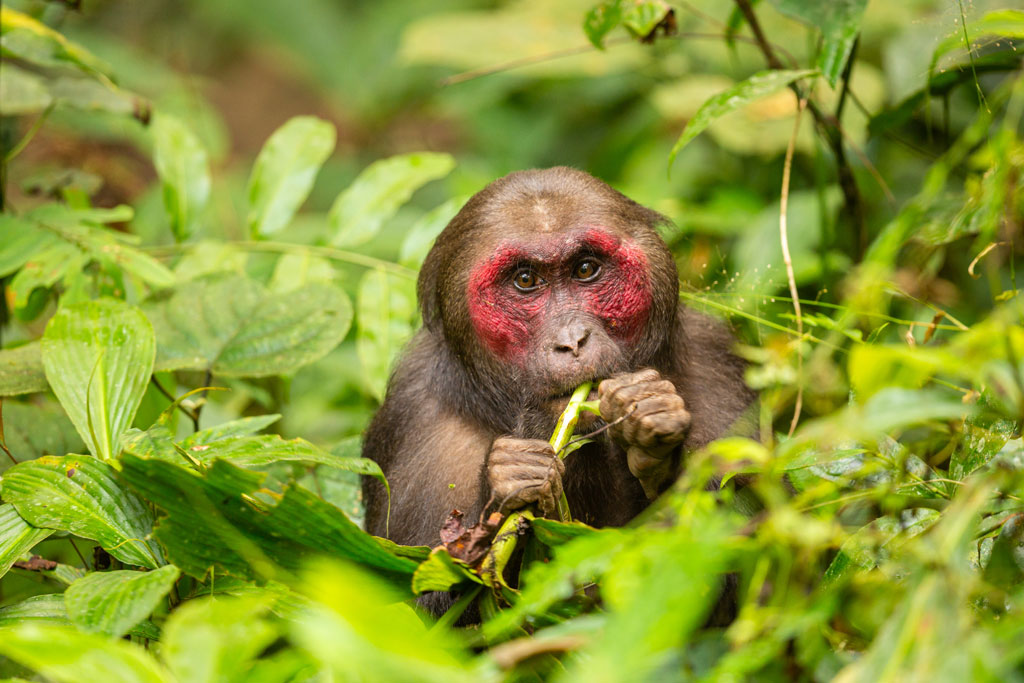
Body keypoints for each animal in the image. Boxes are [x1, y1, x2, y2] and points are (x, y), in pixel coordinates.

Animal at [360, 163, 753, 602]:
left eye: (585, 269)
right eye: (525, 280)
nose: (572, 340)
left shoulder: (716, 370)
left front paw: (653, 430)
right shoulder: (417, 429)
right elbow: (420, 595)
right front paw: (508, 480)